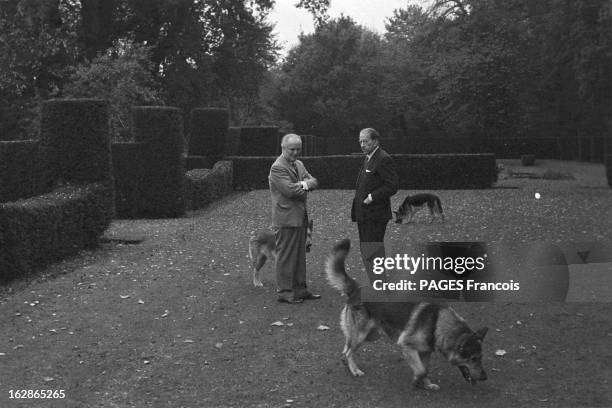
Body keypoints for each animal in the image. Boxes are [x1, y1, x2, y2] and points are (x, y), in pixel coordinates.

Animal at [326, 239, 488, 392]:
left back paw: (347, 364)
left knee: (346, 349)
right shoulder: (407, 346)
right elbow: (421, 370)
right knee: (348, 352)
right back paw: (354, 370)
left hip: (371, 335)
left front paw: (427, 384)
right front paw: (416, 381)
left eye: (481, 358)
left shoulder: (425, 352)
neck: (437, 322)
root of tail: (357, 289)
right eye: (473, 359)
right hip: (362, 334)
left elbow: (425, 369)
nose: (485, 377)